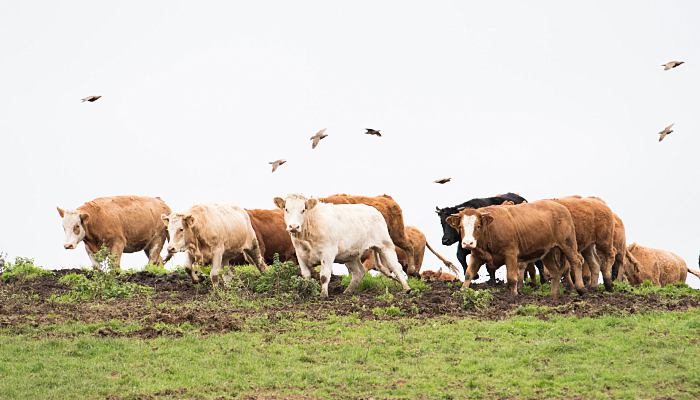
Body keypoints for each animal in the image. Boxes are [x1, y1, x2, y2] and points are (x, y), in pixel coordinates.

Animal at [272, 192, 412, 298]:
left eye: (303, 210)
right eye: (286, 209)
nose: (293, 226)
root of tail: (373, 210)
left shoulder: (328, 253)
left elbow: (324, 276)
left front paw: (323, 295)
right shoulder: (300, 254)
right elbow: (306, 275)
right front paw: (306, 291)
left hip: (385, 245)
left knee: (396, 267)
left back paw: (407, 289)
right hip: (350, 256)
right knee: (359, 272)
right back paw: (347, 292)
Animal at [446, 198, 588, 298]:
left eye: (478, 226)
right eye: (460, 227)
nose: (468, 243)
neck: (490, 230)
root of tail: (562, 207)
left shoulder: (510, 254)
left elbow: (511, 278)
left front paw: (513, 296)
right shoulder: (477, 255)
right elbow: (468, 274)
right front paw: (462, 292)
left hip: (567, 244)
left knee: (576, 261)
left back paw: (581, 289)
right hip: (548, 252)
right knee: (555, 272)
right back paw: (553, 296)